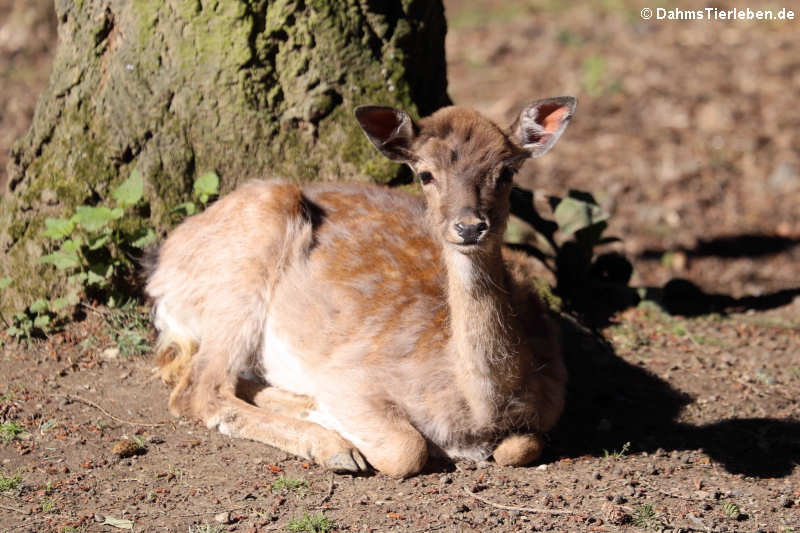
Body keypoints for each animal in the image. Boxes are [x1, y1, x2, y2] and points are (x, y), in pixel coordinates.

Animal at [147, 96, 576, 478]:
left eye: (506, 173)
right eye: (425, 174)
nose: (469, 226)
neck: (477, 412)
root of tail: (160, 269)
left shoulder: (554, 393)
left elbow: (522, 446)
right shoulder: (353, 376)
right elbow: (406, 449)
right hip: (243, 265)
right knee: (197, 389)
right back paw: (334, 446)